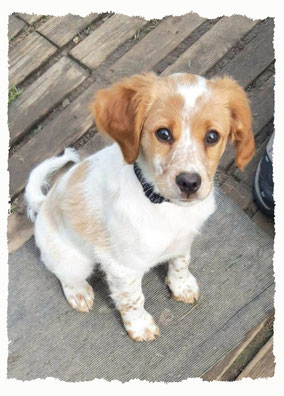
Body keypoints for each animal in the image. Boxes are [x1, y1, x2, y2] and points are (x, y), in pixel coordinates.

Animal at [25, 72, 255, 342]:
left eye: (212, 136)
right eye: (163, 133)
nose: (189, 182)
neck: (163, 205)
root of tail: (44, 204)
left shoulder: (184, 240)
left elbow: (181, 262)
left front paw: (181, 286)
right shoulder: (122, 268)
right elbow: (133, 299)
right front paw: (139, 325)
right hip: (73, 261)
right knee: (63, 273)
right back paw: (78, 292)